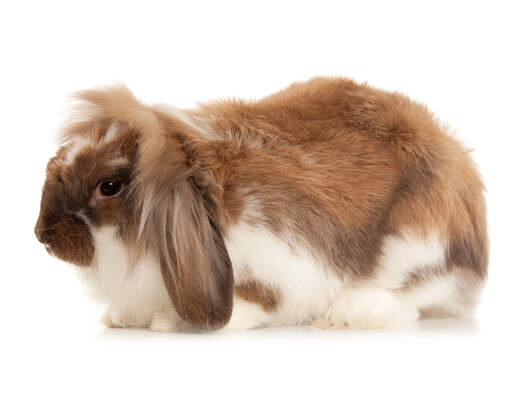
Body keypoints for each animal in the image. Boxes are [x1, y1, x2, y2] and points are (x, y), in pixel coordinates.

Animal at [35, 77, 488, 330]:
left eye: (109, 186)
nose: (42, 236)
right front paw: (123, 318)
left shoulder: (278, 262)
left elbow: (257, 298)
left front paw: (171, 323)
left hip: (417, 244)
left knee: (413, 296)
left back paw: (347, 315)